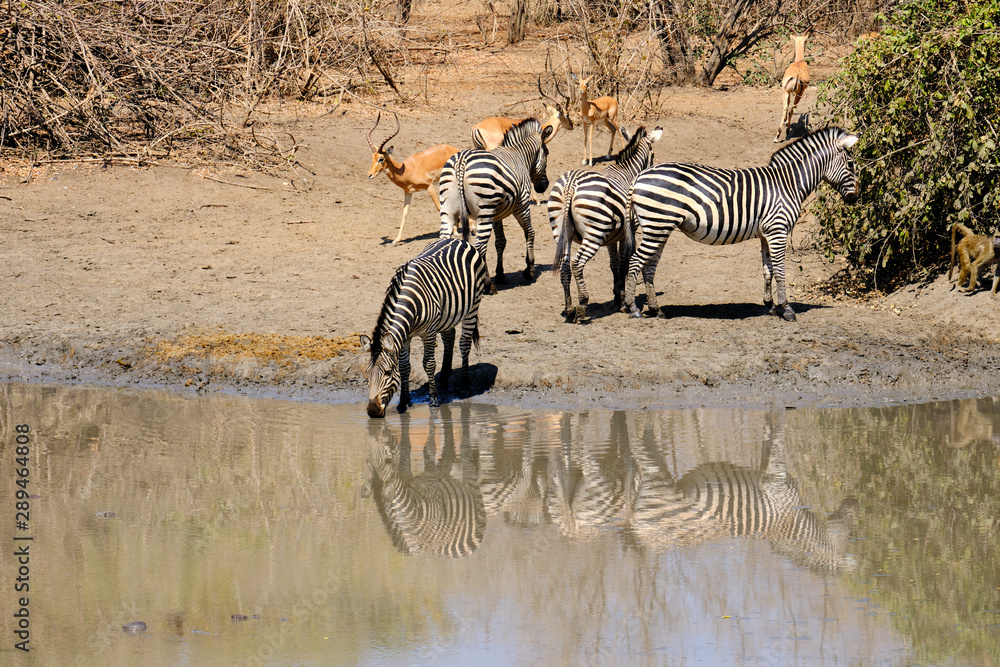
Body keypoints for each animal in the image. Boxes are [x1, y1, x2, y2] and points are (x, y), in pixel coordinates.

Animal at [361, 237, 491, 418]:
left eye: (387, 372)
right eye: (367, 373)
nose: (372, 411)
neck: (408, 301)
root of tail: (458, 240)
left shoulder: (429, 332)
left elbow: (428, 364)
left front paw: (434, 400)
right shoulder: (405, 335)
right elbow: (404, 367)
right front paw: (403, 401)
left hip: (473, 306)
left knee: (464, 344)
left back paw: (465, 387)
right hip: (447, 314)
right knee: (449, 337)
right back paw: (444, 379)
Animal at [364, 408, 487, 557]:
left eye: (388, 458)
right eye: (367, 460)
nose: (380, 430)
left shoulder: (431, 484)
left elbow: (428, 449)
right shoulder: (405, 476)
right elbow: (407, 449)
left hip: (470, 483)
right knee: (448, 453)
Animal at [438, 117, 554, 286]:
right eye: (547, 152)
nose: (544, 186)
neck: (519, 155)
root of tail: (461, 162)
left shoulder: (497, 214)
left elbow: (500, 242)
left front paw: (500, 274)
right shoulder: (522, 205)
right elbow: (530, 232)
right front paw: (530, 269)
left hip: (448, 210)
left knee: (443, 240)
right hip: (485, 211)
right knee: (479, 246)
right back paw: (488, 285)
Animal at [547, 126, 663, 323]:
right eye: (653, 155)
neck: (627, 172)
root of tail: (571, 184)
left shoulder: (611, 237)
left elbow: (614, 264)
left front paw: (618, 297)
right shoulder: (628, 231)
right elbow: (624, 263)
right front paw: (624, 303)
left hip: (560, 231)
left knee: (565, 265)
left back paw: (569, 309)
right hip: (594, 233)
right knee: (577, 263)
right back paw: (582, 303)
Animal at [624, 126, 860, 321]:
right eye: (850, 164)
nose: (855, 198)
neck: (788, 183)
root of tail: (638, 177)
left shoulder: (767, 234)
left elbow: (768, 270)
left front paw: (771, 306)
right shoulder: (778, 230)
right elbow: (781, 270)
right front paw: (786, 309)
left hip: (660, 228)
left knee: (648, 267)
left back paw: (656, 309)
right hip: (657, 225)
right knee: (635, 261)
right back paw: (633, 309)